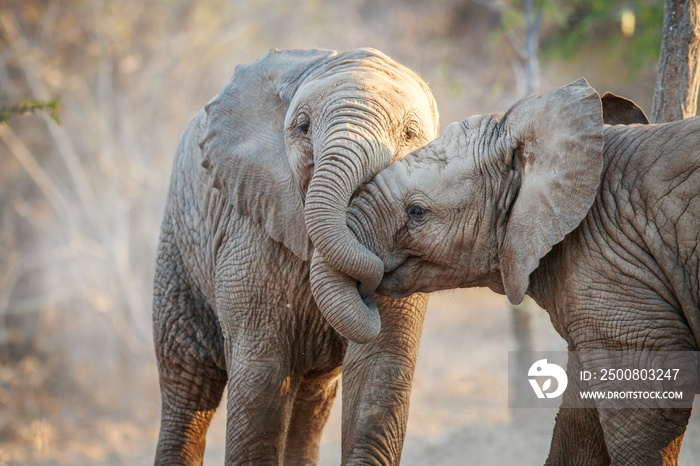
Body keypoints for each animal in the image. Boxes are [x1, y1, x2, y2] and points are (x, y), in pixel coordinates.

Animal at [152, 48, 438, 466]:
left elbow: (379, 368)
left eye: (409, 135)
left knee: (311, 402)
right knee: (188, 383)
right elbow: (262, 376)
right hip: (178, 246)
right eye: (303, 127)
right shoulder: (250, 230)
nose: (368, 286)